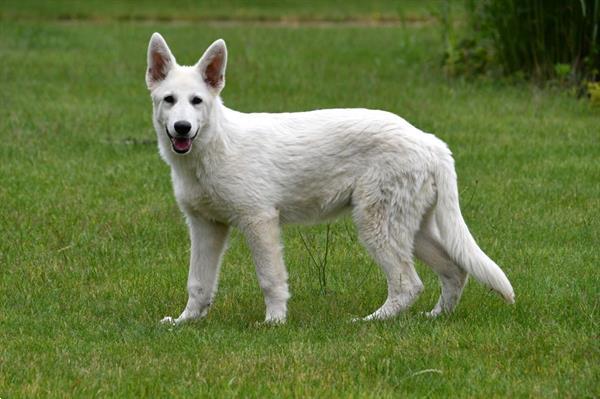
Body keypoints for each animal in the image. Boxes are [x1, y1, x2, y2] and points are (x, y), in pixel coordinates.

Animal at [146, 32, 516, 324]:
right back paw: (436, 317)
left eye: (197, 101)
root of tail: (428, 140)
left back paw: (370, 322)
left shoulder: (259, 221)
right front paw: (185, 321)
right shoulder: (206, 226)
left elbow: (270, 279)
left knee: (408, 284)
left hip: (376, 226)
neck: (212, 150)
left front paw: (274, 322)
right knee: (454, 271)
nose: (182, 128)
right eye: (169, 100)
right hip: (412, 229)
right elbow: (198, 283)